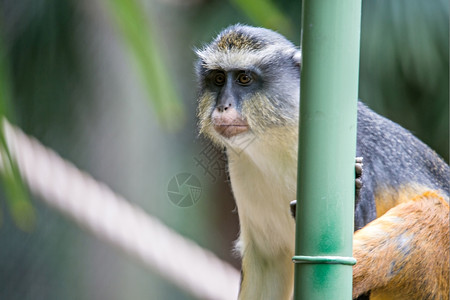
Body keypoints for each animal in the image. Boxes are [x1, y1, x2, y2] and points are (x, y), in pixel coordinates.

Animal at [194, 24, 450, 298]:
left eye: (244, 79)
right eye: (218, 79)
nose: (223, 106)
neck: (278, 136)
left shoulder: (354, 151)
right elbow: (267, 262)